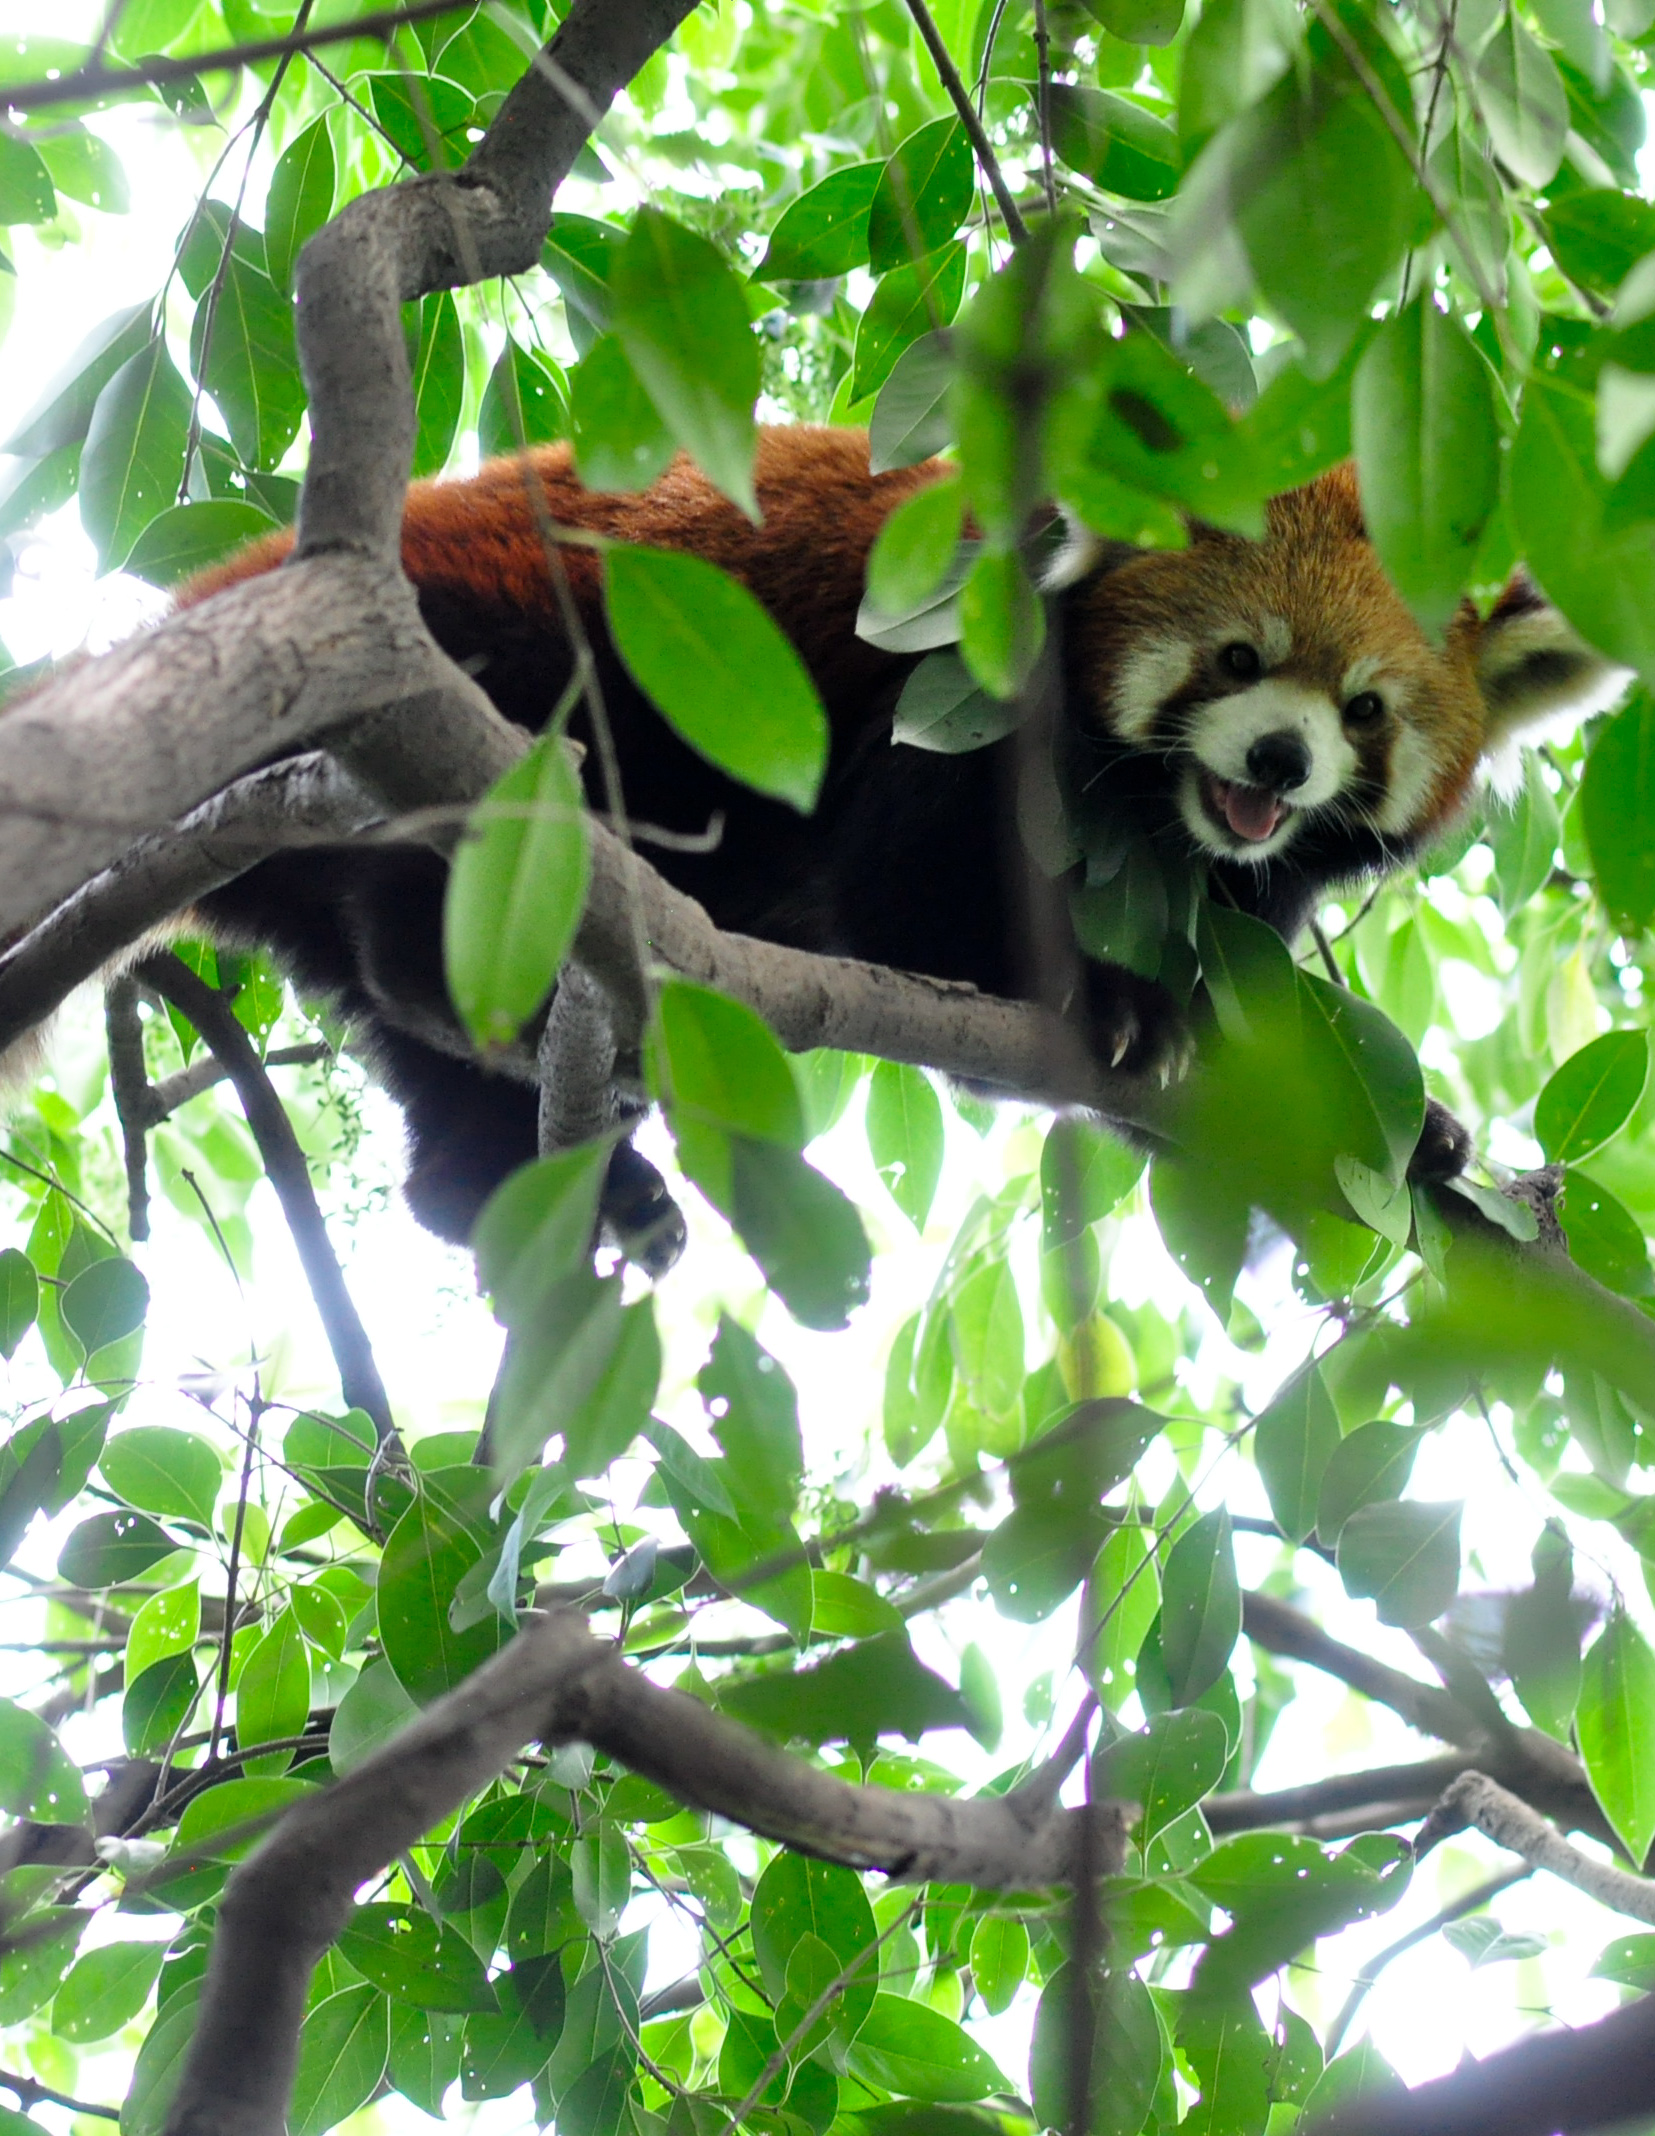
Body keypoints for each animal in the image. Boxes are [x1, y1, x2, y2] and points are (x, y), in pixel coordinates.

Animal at [176, 425, 1613, 1258]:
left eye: (1363, 710)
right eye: (1237, 659)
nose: (1276, 760)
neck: (1153, 805)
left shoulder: (1232, 875)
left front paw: (1404, 1132)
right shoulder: (959, 670)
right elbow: (901, 902)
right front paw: (1109, 1005)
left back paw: (509, 1173)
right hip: (516, 637)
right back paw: (443, 967)